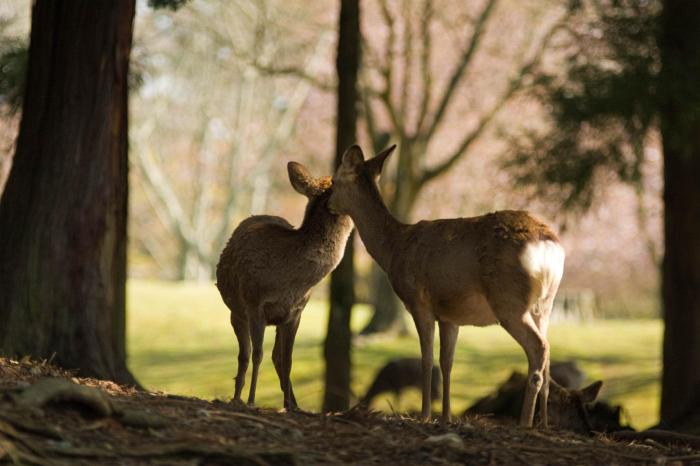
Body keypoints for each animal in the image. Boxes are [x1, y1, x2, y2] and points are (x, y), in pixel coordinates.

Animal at [213, 162, 352, 410]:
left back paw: (292, 403)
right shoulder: (254, 304)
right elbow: (257, 354)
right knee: (244, 354)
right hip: (236, 311)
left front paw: (288, 405)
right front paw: (251, 400)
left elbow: (287, 360)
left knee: (275, 356)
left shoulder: (296, 312)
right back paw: (237, 397)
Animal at [330, 145, 568, 426]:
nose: (327, 203)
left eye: (334, 180)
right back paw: (544, 423)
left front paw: (424, 416)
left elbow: (426, 358)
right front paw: (446, 417)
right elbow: (447, 362)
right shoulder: (449, 316)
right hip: (545, 303)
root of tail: (548, 245)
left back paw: (525, 423)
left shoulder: (418, 302)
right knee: (548, 351)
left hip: (509, 301)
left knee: (538, 348)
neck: (393, 249)